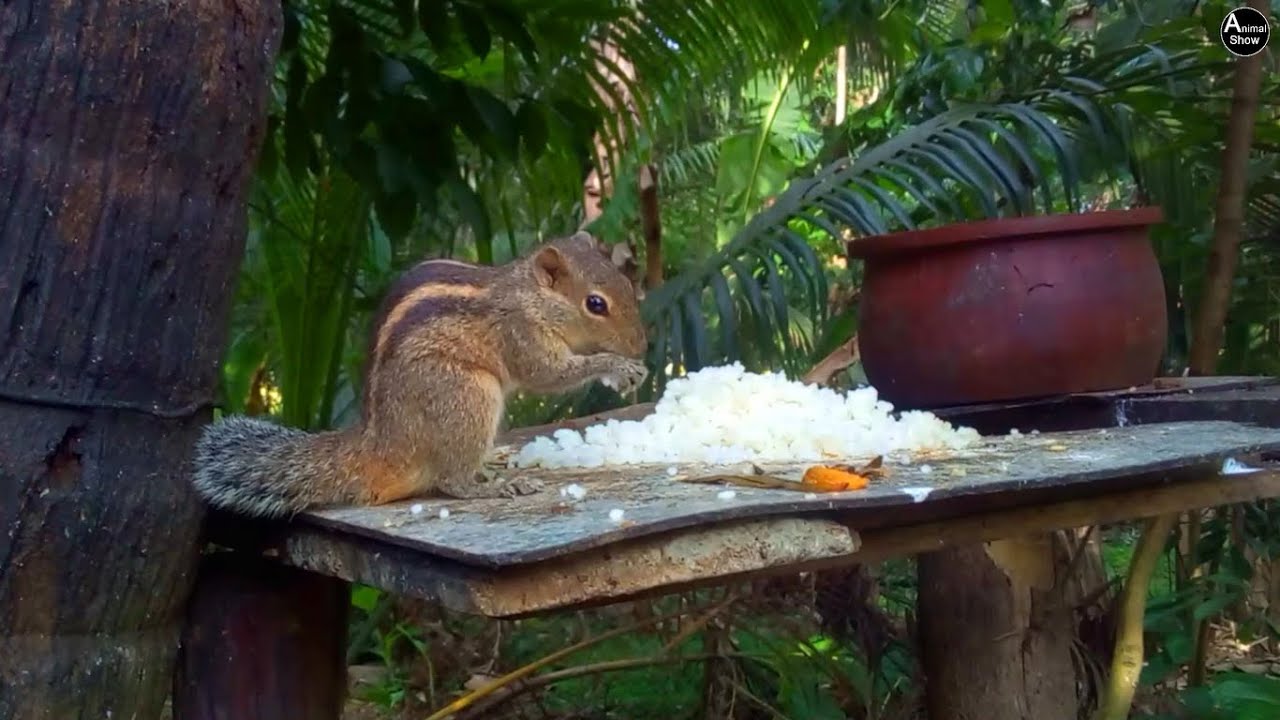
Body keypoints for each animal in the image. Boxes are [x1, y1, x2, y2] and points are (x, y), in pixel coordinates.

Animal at [192, 231, 649, 518]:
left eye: (627, 285)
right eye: (595, 304)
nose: (641, 345)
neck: (529, 296)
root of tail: (380, 445)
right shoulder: (519, 335)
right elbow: (547, 374)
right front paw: (617, 367)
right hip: (467, 396)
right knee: (451, 481)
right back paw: (493, 486)